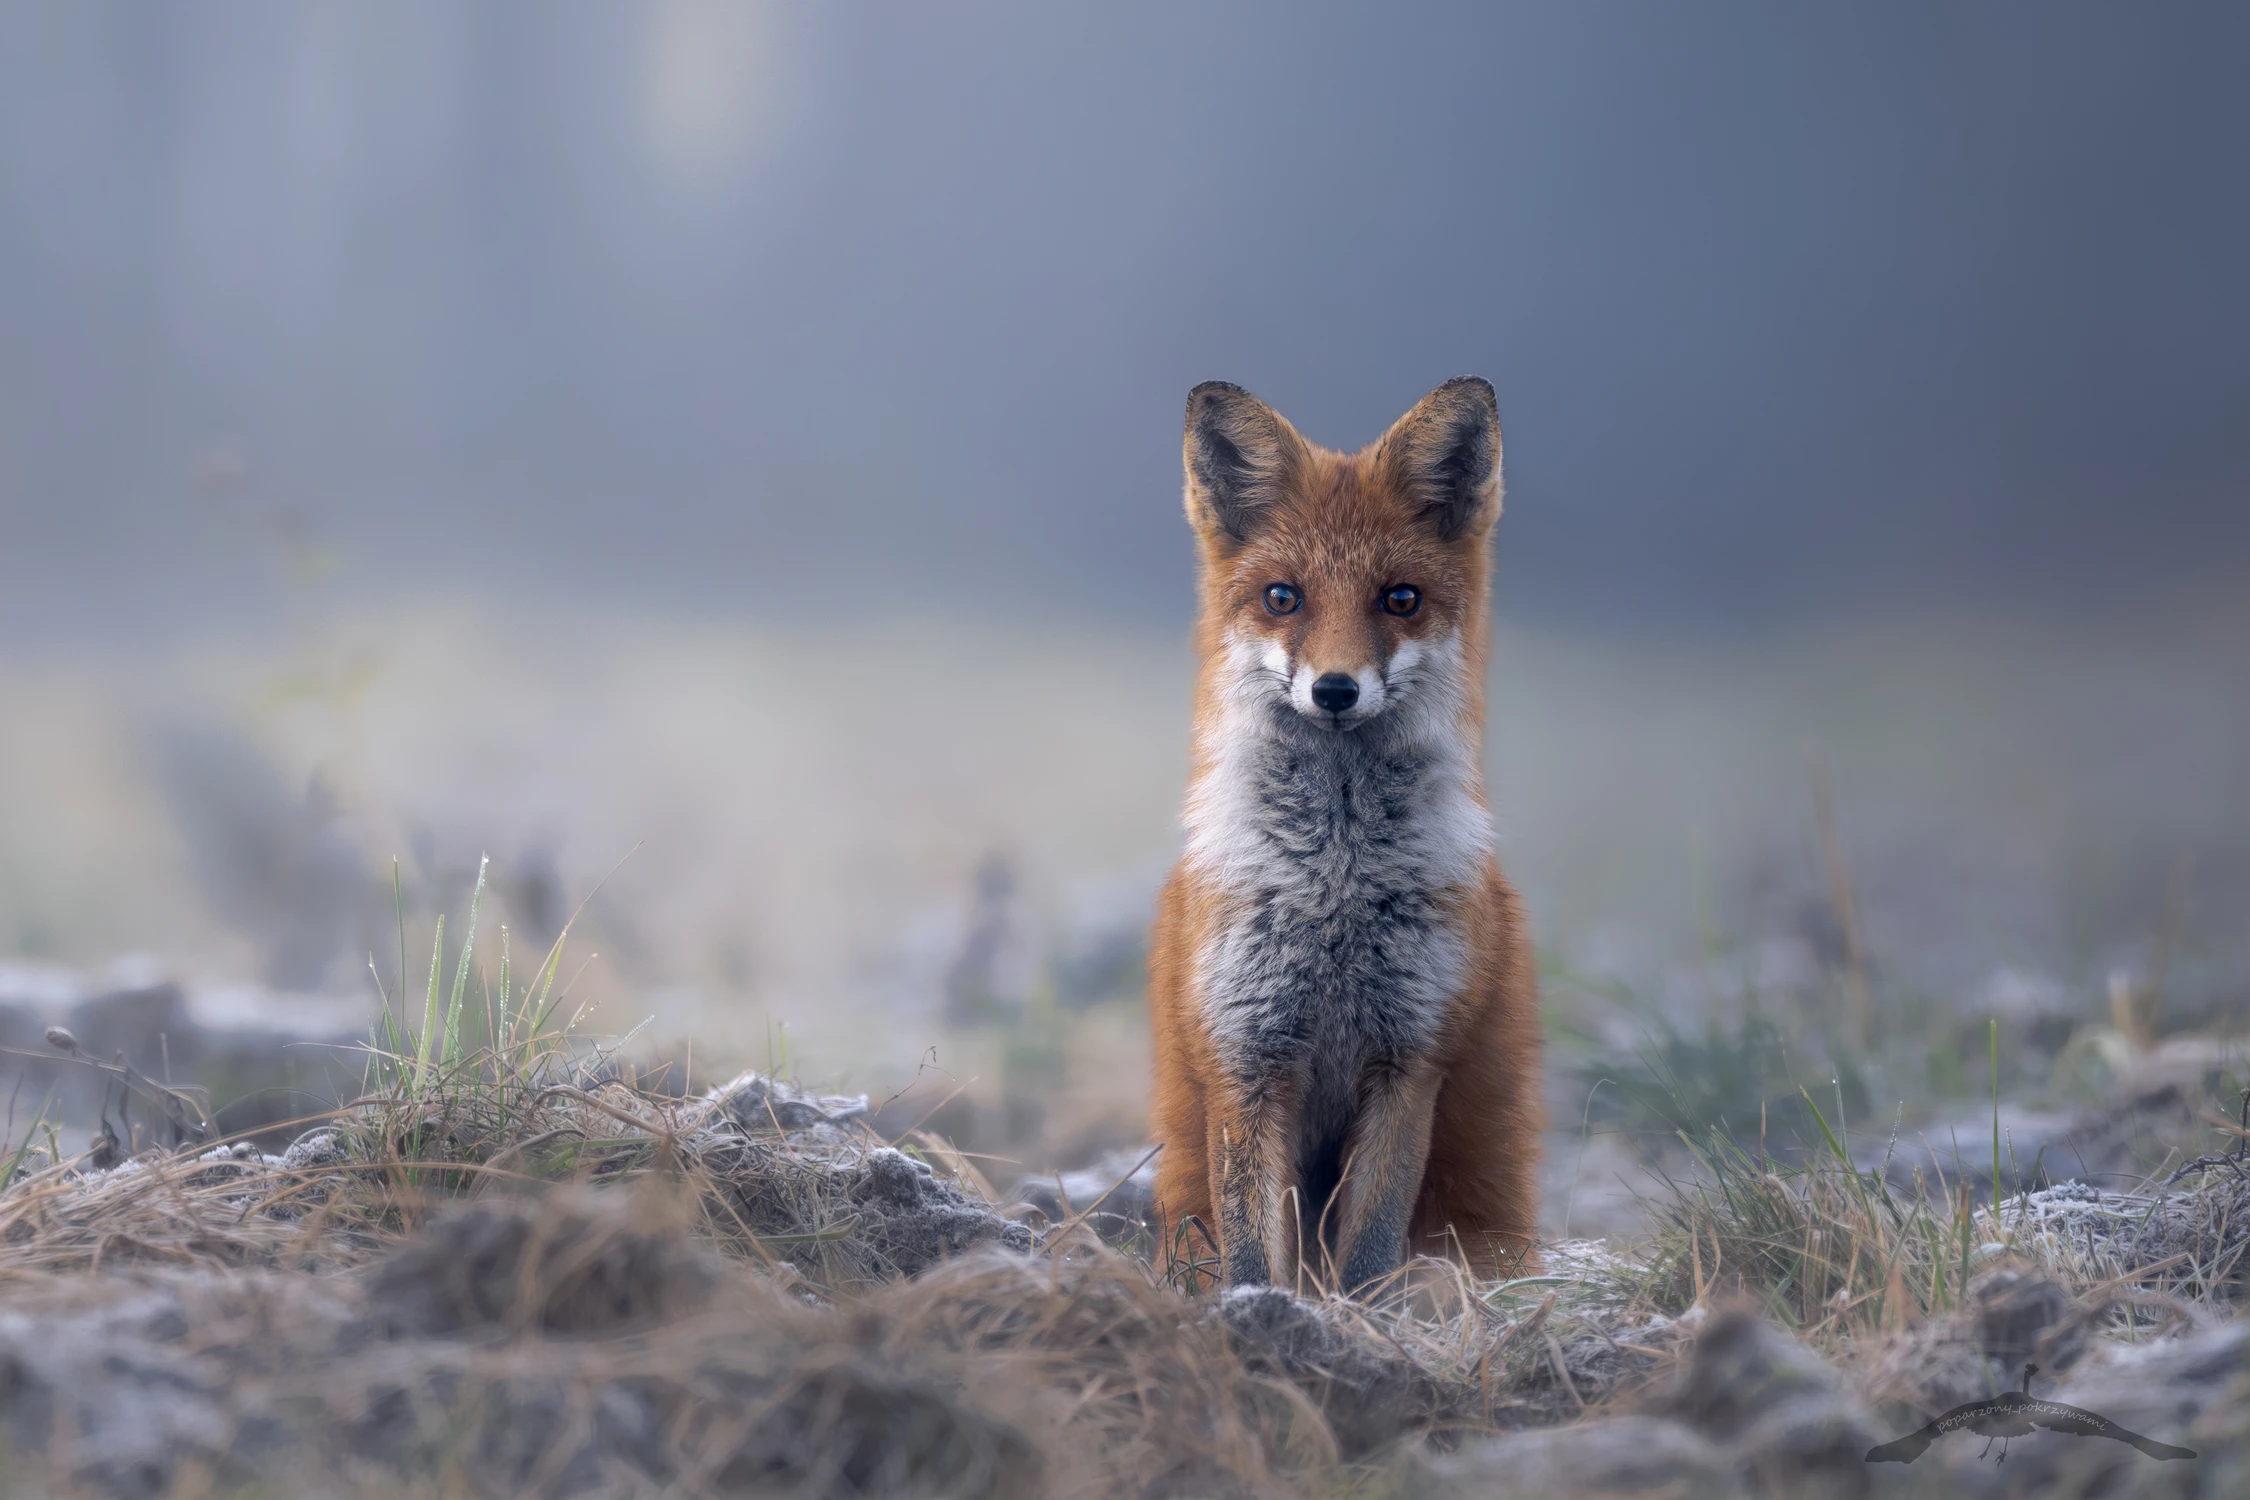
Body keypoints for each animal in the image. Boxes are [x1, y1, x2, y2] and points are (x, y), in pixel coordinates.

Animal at [1152, 375, 1539, 1295]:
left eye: (1400, 598)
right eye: (1282, 597)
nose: (1334, 689)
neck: (1336, 884)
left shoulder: (1411, 1062)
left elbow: (1366, 1254)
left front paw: (1358, 1325)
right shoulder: (1245, 1061)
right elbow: (1253, 1254)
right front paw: (1261, 1318)